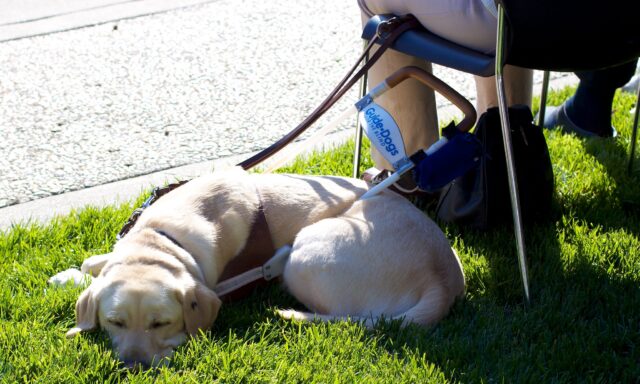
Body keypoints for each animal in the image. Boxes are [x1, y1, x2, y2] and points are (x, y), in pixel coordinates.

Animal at [52, 168, 464, 366]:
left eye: (162, 323)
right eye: (114, 322)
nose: (134, 367)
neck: (162, 240)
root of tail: (442, 282)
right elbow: (93, 260)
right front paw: (68, 277)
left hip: (302, 255)